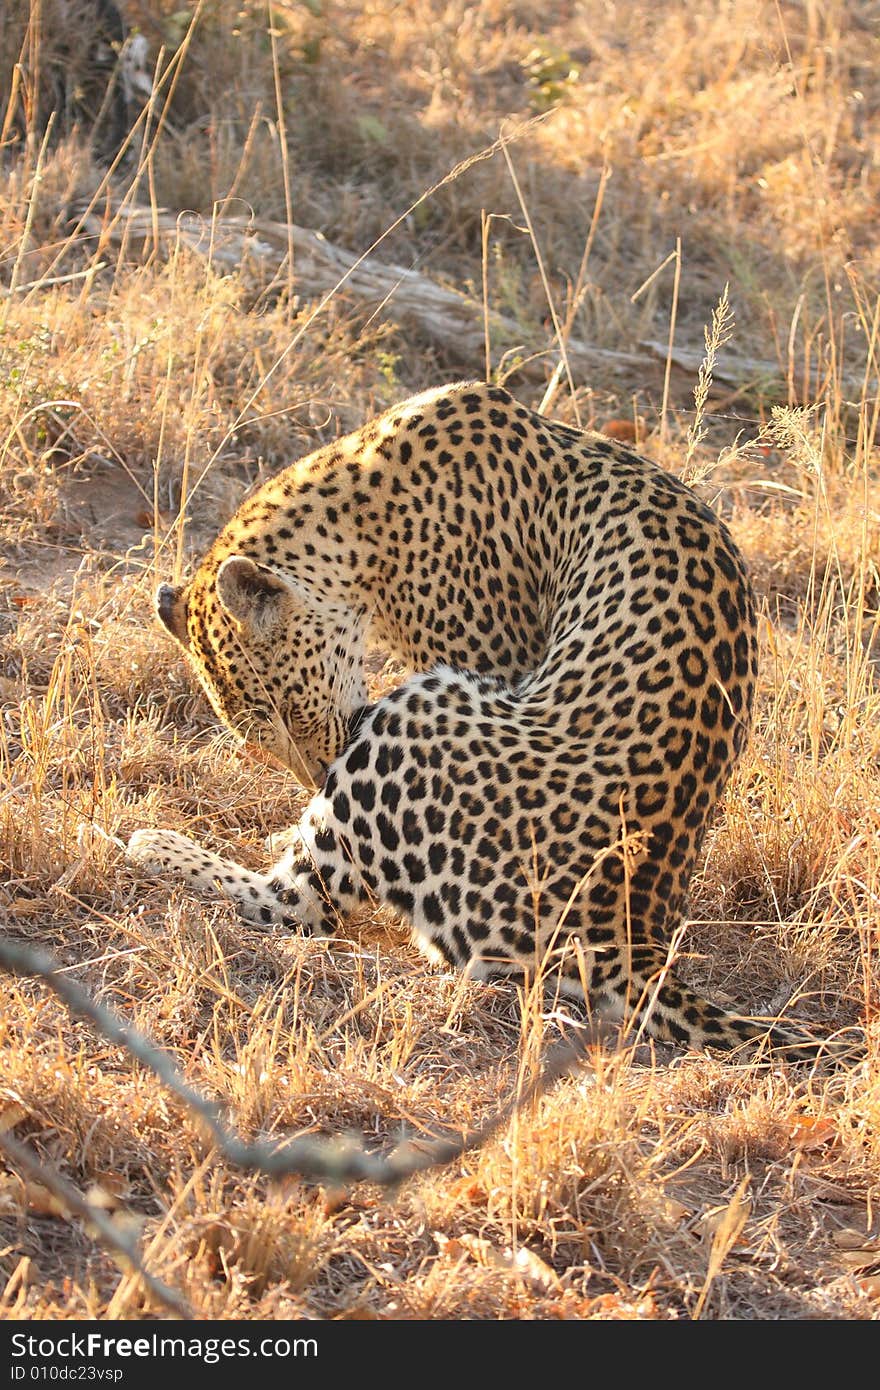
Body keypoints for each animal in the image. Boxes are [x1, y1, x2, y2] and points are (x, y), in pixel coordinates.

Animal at [127, 378, 834, 1050]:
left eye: (290, 712)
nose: (318, 773)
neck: (354, 524)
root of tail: (629, 938)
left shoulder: (493, 660)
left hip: (414, 712)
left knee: (298, 907)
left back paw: (157, 844)